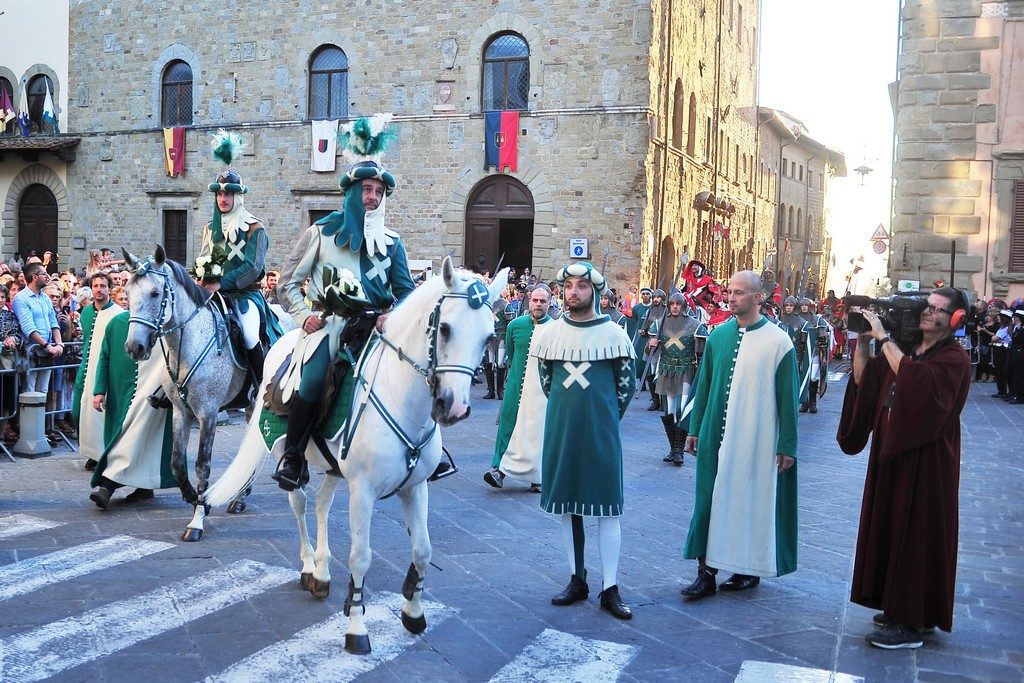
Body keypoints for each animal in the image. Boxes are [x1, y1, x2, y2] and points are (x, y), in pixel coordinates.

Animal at [123, 245, 294, 540]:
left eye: (155, 293)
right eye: (128, 293)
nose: (135, 347)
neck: (189, 343)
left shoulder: (208, 414)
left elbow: (202, 464)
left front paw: (198, 518)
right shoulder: (181, 412)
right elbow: (177, 464)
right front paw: (194, 498)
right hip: (251, 407)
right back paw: (240, 497)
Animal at [205, 259, 509, 655]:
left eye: (488, 337)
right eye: (444, 328)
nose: (453, 407)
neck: (401, 396)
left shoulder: (416, 487)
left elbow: (423, 550)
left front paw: (413, 612)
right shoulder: (362, 491)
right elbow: (360, 557)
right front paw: (357, 629)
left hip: (336, 471)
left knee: (321, 504)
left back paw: (321, 573)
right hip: (288, 454)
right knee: (301, 504)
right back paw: (308, 566)